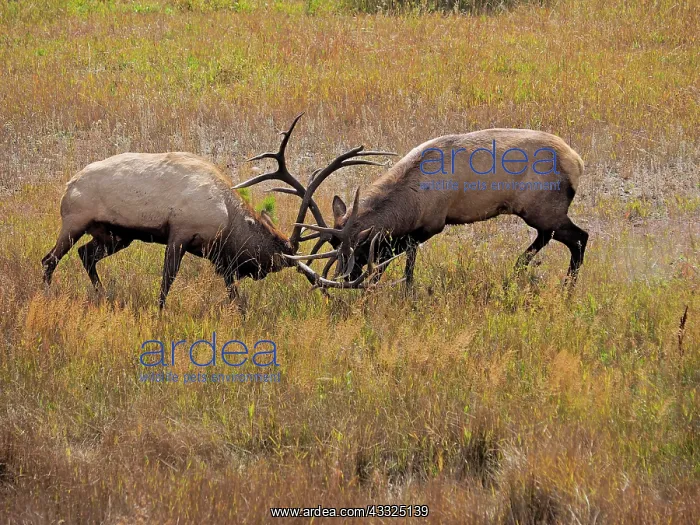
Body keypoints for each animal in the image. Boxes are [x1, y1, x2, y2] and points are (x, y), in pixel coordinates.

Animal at [41, 114, 395, 308]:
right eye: (272, 257)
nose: (256, 273)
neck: (226, 216)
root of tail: (68, 185)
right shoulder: (180, 234)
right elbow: (167, 281)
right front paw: (159, 312)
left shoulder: (217, 255)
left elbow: (231, 292)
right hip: (74, 221)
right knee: (50, 259)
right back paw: (47, 294)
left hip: (115, 235)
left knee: (86, 255)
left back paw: (103, 295)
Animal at [284, 129, 589, 290]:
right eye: (334, 246)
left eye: (358, 251)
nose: (344, 278)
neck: (413, 196)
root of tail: (577, 161)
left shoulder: (431, 224)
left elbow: (404, 264)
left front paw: (404, 291)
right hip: (542, 213)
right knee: (551, 239)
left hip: (543, 209)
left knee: (579, 238)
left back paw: (566, 289)